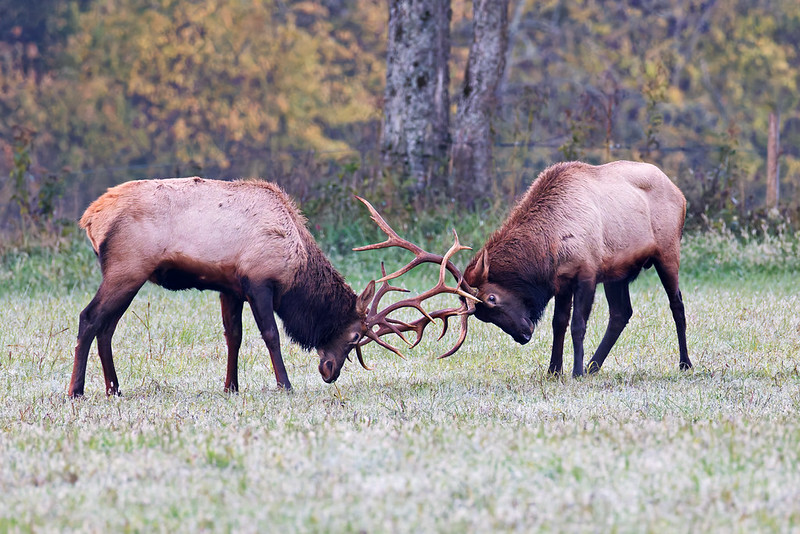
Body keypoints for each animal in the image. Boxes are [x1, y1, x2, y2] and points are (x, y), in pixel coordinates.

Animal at [69, 178, 474, 397]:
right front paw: (285, 384)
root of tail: (90, 217)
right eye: (355, 335)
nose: (330, 371)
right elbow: (271, 334)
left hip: (129, 275)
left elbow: (233, 336)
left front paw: (231, 387)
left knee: (106, 327)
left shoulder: (229, 287)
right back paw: (76, 391)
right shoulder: (259, 281)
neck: (295, 266)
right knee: (89, 318)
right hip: (127, 269)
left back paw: (114, 388)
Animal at [460, 160, 693, 377]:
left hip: (668, 253)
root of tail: (680, 194)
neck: (550, 246)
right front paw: (554, 370)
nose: (522, 336)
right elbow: (559, 324)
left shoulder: (587, 274)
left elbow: (578, 325)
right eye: (482, 316)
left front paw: (576, 371)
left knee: (677, 304)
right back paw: (593, 366)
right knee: (621, 313)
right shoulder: (562, 282)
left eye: (491, 298)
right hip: (617, 273)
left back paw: (685, 363)